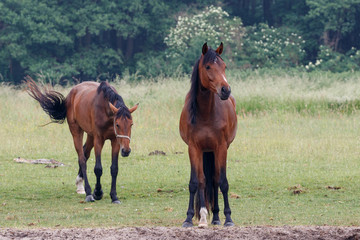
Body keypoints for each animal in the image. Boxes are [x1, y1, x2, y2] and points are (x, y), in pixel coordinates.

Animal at [179, 42, 236, 228]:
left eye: (224, 66)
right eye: (208, 66)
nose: (225, 90)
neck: (205, 113)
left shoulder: (221, 148)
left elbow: (222, 182)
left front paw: (228, 219)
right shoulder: (194, 148)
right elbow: (196, 182)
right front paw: (190, 218)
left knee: (215, 180)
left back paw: (217, 217)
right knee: (205, 181)